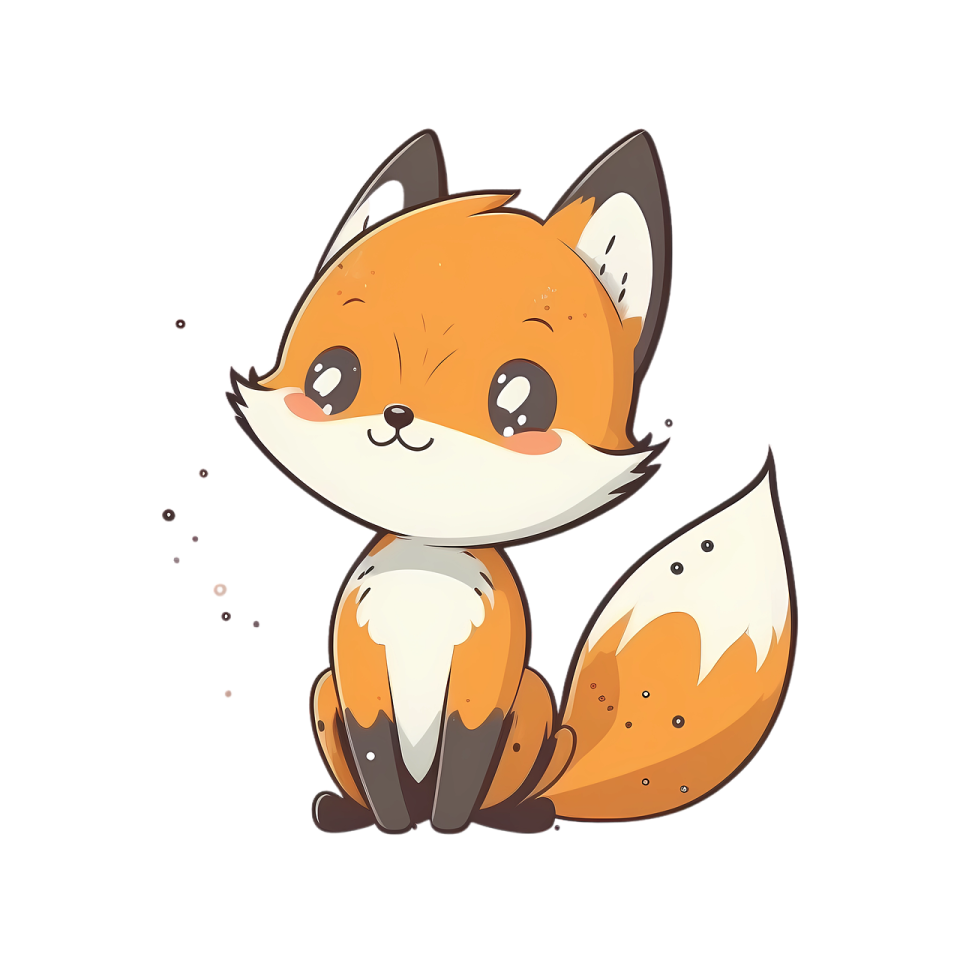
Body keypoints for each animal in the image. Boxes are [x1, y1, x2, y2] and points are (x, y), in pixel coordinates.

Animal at [224, 127, 797, 834]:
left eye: (522, 400)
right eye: (331, 377)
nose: (397, 416)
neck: (427, 570)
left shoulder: (483, 689)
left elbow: (463, 768)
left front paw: (445, 827)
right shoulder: (357, 682)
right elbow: (378, 760)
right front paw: (395, 825)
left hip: (529, 705)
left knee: (516, 789)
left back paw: (519, 815)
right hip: (325, 697)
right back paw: (345, 811)